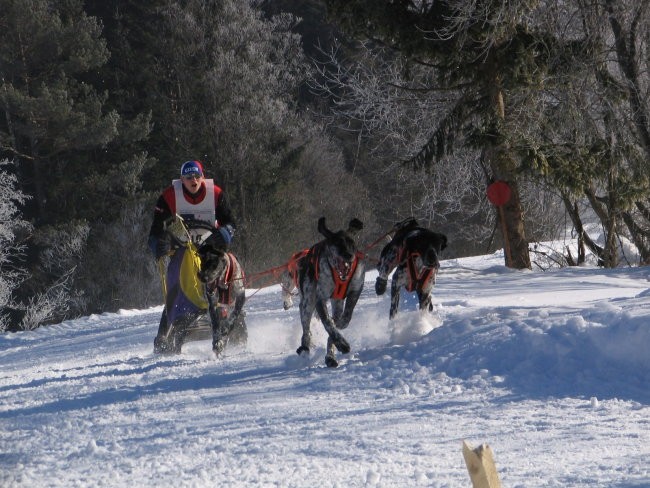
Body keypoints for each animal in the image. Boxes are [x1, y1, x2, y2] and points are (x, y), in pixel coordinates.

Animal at [294, 216, 364, 366]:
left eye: (352, 243)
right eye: (337, 243)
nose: (349, 255)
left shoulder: (356, 289)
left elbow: (345, 318)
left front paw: (338, 339)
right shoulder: (319, 298)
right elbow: (328, 323)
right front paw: (342, 344)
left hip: (336, 302)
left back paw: (330, 356)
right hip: (308, 301)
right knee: (306, 330)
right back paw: (306, 346)